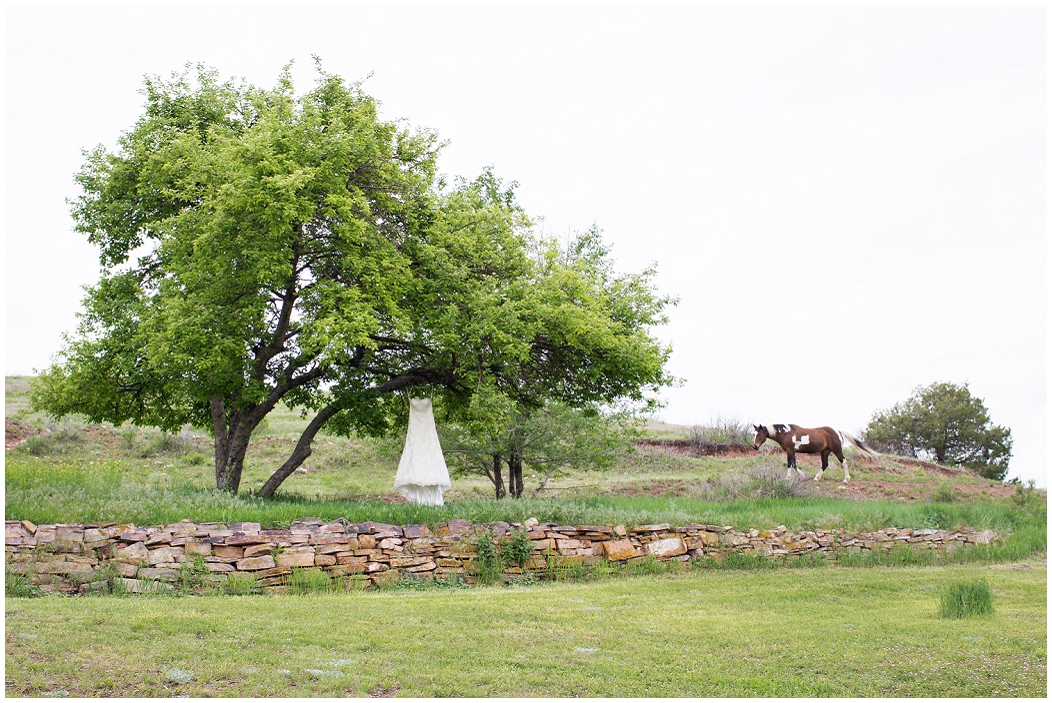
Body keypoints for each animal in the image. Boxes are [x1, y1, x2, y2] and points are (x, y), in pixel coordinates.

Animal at [749, 423, 879, 484]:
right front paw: (803, 476)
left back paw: (846, 479)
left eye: (759, 434)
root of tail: (838, 431)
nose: (755, 446)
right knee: (825, 464)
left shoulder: (790, 451)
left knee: (844, 462)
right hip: (825, 451)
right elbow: (795, 464)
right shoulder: (793, 451)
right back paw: (816, 478)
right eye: (753, 434)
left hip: (837, 450)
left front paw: (787, 478)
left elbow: (790, 464)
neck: (786, 433)